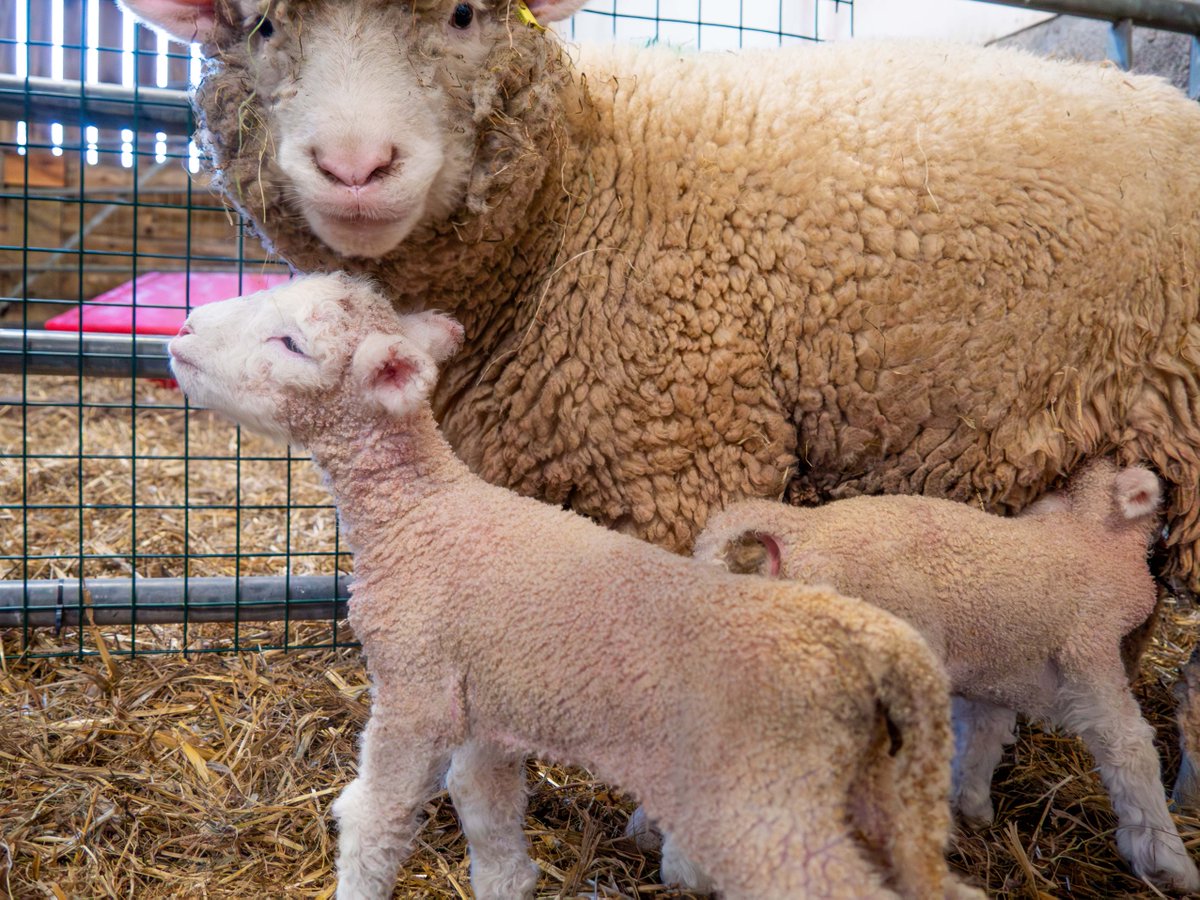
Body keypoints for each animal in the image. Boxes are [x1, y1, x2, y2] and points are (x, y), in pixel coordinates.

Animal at [166, 272, 978, 900]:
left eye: (290, 344)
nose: (184, 325)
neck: (419, 515)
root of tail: (869, 640)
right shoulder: (485, 708)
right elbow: (486, 811)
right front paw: (506, 881)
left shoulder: (414, 687)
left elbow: (375, 817)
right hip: (869, 787)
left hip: (765, 800)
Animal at [690, 462, 1200, 893]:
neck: (1085, 534)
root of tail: (798, 526)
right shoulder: (1088, 648)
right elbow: (1127, 746)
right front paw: (1166, 857)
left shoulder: (998, 671)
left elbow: (984, 736)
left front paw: (973, 805)